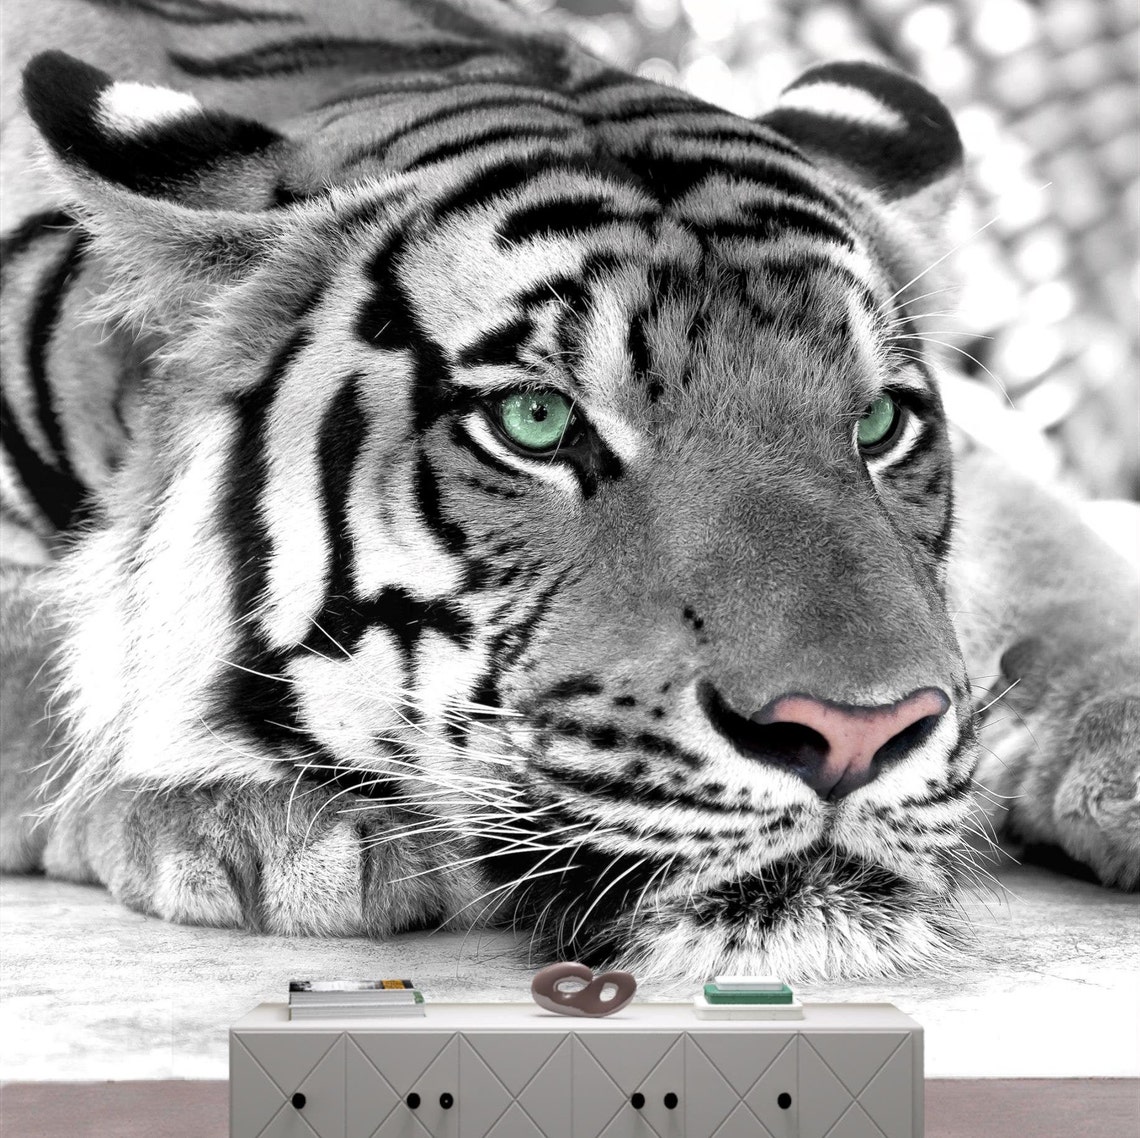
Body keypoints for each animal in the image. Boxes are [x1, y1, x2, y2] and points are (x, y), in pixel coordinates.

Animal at [1, 0, 1136, 982]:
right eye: (537, 422)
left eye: (878, 424)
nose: (857, 738)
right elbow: (45, 658)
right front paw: (241, 813)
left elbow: (1070, 576)